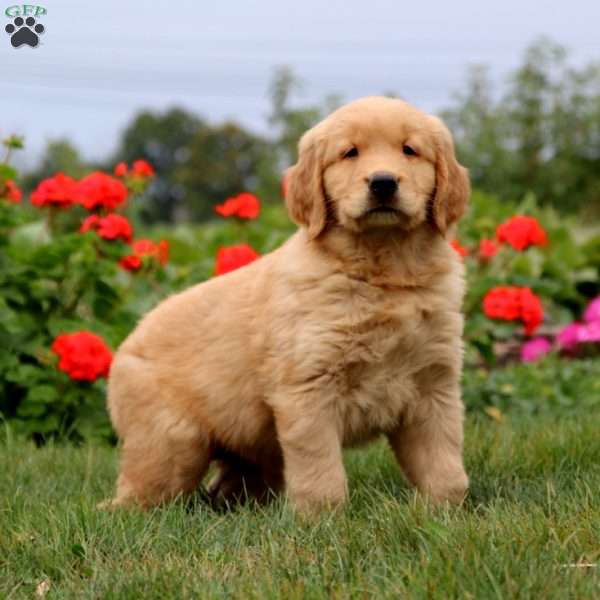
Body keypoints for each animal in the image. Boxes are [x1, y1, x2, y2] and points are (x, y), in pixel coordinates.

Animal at [108, 97, 474, 510]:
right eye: (350, 153)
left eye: (409, 150)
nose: (383, 182)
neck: (383, 274)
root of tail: (123, 347)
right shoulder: (308, 389)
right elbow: (320, 468)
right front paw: (322, 517)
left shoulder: (433, 386)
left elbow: (443, 464)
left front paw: (443, 510)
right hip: (170, 445)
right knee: (139, 497)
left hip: (249, 450)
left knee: (232, 486)